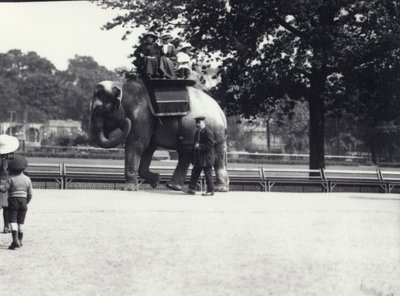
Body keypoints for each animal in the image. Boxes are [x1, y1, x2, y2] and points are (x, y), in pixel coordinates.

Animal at [89, 77, 230, 191]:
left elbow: (137, 145)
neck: (122, 85)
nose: (126, 122)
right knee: (186, 154)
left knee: (215, 157)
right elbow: (148, 148)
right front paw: (156, 181)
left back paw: (219, 189)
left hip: (213, 131)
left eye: (98, 109)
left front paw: (127, 189)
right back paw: (172, 186)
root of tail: (221, 112)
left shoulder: (141, 117)